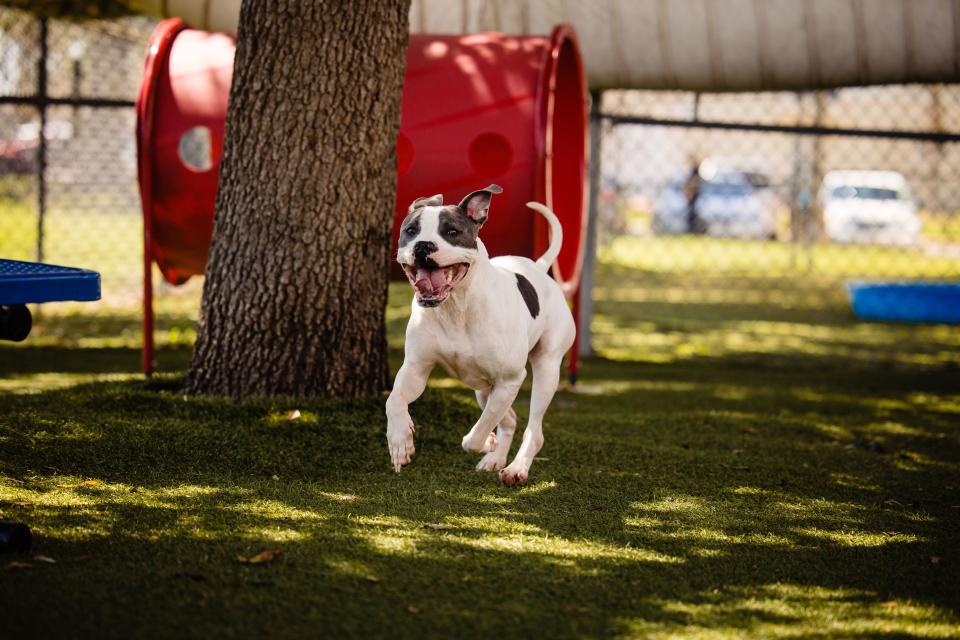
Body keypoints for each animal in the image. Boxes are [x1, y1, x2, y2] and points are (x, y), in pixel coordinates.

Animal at [384, 184, 576, 484]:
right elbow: (394, 400)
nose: (423, 245)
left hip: (545, 370)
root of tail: (538, 268)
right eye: (411, 230)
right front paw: (400, 440)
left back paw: (516, 468)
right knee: (509, 419)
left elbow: (478, 432)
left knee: (533, 428)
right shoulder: (415, 368)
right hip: (483, 387)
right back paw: (495, 459)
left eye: (452, 232)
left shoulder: (510, 379)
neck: (456, 307)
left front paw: (483, 443)